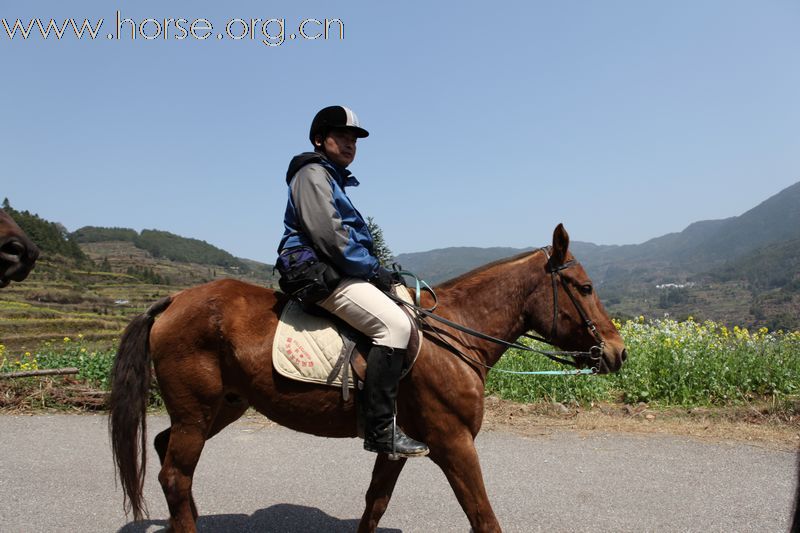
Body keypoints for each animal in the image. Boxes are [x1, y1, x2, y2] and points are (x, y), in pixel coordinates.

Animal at [109, 222, 628, 528]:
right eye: (585, 287)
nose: (618, 352)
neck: (454, 335)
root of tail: (174, 301)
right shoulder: (454, 443)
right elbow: (483, 516)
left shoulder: (398, 445)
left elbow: (375, 504)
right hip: (197, 411)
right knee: (175, 475)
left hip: (223, 407)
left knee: (167, 453)